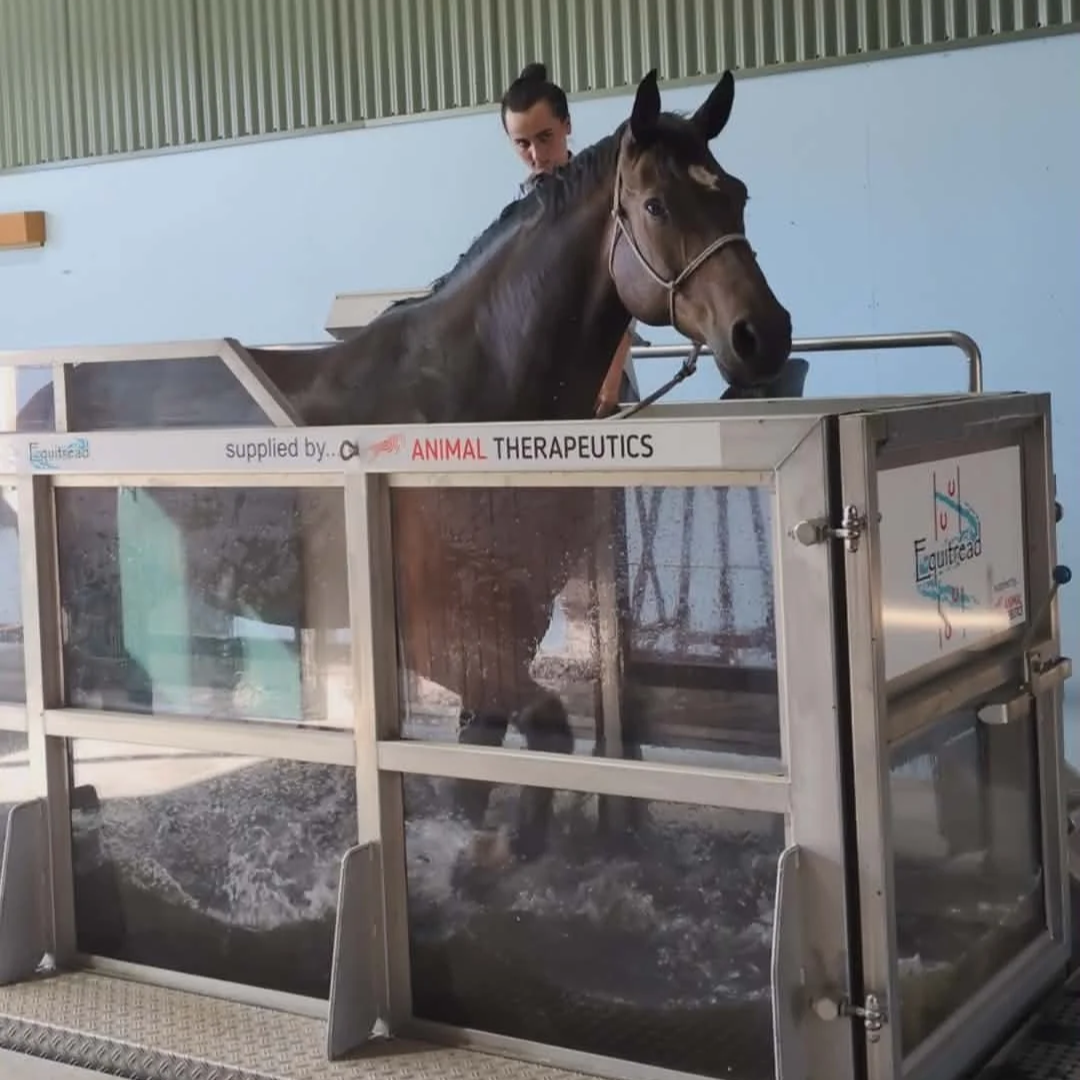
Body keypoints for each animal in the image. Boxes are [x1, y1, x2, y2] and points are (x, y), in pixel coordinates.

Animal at [18, 69, 795, 864]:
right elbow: (543, 726)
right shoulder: (435, 638)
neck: (464, 402)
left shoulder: (510, 625)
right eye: (656, 204)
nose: (763, 335)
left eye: (735, 194)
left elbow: (485, 747)